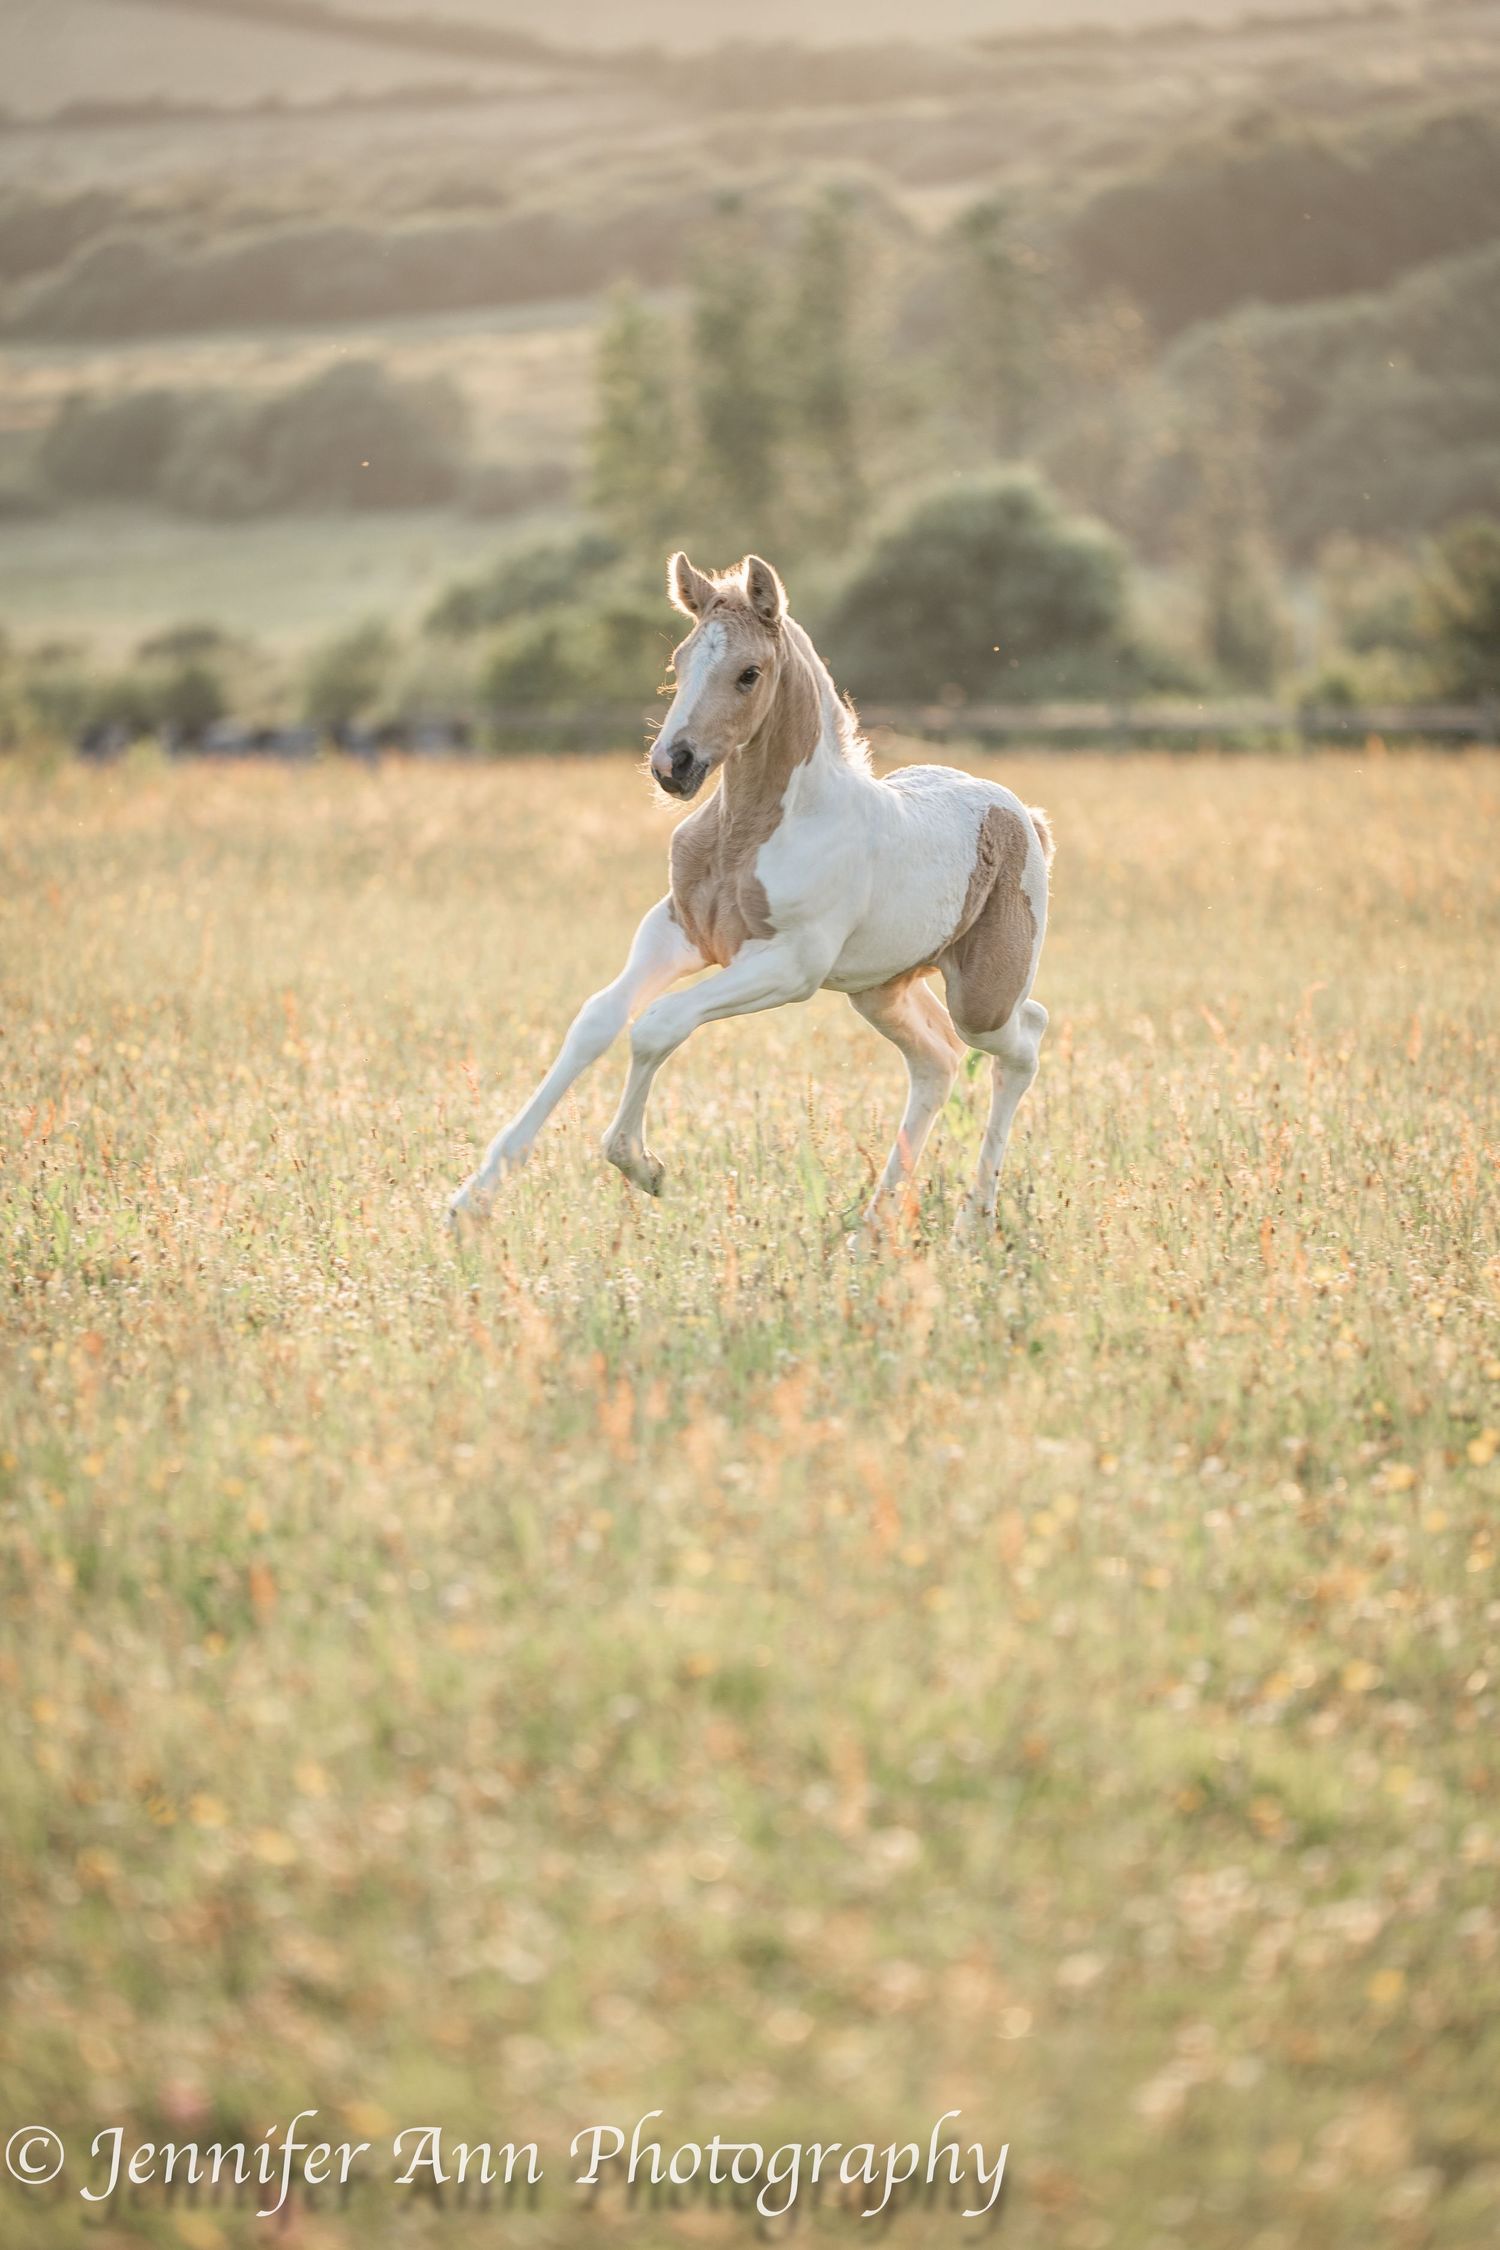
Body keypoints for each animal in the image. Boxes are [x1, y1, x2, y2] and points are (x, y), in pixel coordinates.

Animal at [449, 550, 1053, 1239]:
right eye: (679, 662)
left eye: (748, 673)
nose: (672, 766)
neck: (750, 833)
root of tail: (1023, 816)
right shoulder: (677, 928)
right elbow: (597, 1020)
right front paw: (471, 1201)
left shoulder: (788, 966)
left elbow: (658, 1024)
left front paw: (641, 1164)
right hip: (880, 988)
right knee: (936, 1062)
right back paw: (868, 1234)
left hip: (981, 999)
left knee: (1023, 1041)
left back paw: (972, 1222)